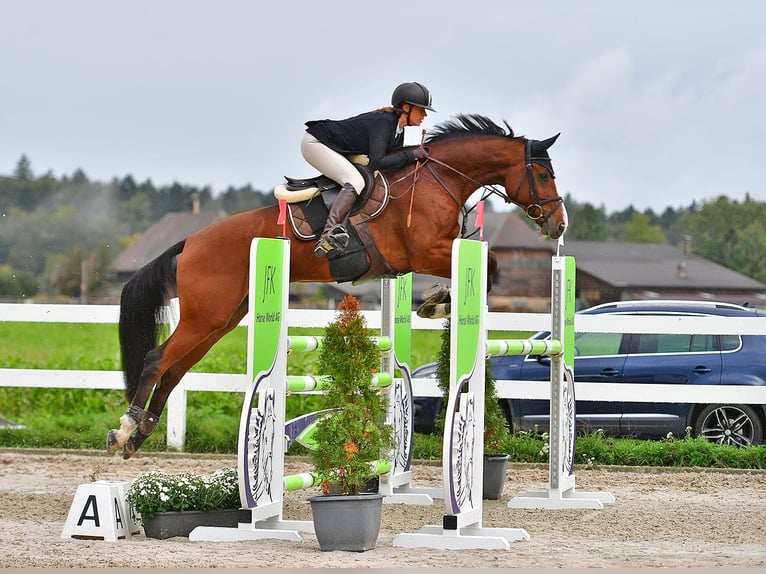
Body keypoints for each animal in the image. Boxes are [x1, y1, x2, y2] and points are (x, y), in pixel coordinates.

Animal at [105, 115, 568, 462]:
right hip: (207, 315)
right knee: (156, 360)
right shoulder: (421, 252)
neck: (438, 180)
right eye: (544, 173)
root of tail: (191, 241)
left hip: (221, 318)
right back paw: (126, 429)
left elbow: (484, 266)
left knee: (175, 369)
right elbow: (489, 266)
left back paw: (140, 434)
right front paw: (437, 304)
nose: (558, 225)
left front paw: (435, 302)